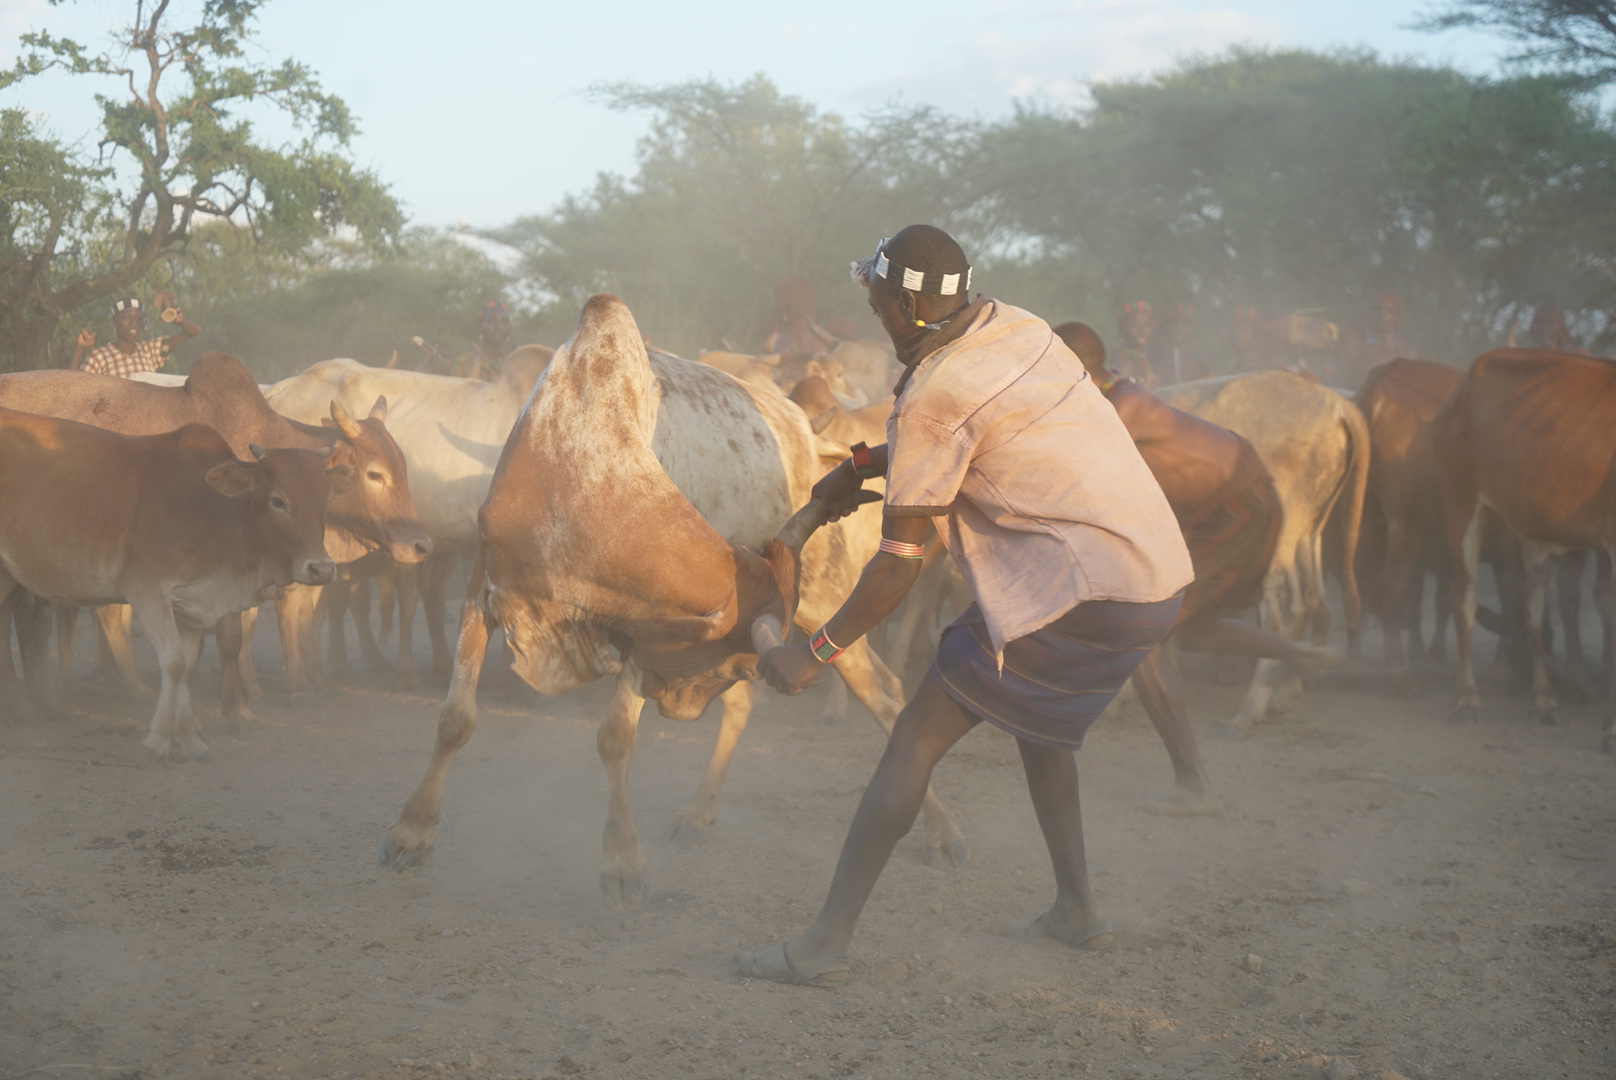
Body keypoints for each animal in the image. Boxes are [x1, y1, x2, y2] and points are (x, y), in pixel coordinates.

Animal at [0, 410, 344, 759]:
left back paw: (18, 708)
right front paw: (158, 739)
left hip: (8, 575)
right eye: (278, 500)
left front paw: (189, 739)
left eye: (327, 499)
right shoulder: (147, 592)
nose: (321, 569)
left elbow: (189, 667)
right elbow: (174, 662)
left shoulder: (191, 604)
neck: (217, 513)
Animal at [378, 292, 956, 905]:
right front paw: (411, 833)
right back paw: (699, 815)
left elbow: (614, 739)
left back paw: (943, 832)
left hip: (827, 600)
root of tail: (805, 429)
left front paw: (622, 862)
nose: (682, 706)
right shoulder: (483, 590)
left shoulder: (645, 635)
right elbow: (455, 720)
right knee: (753, 708)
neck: (577, 475)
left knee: (883, 693)